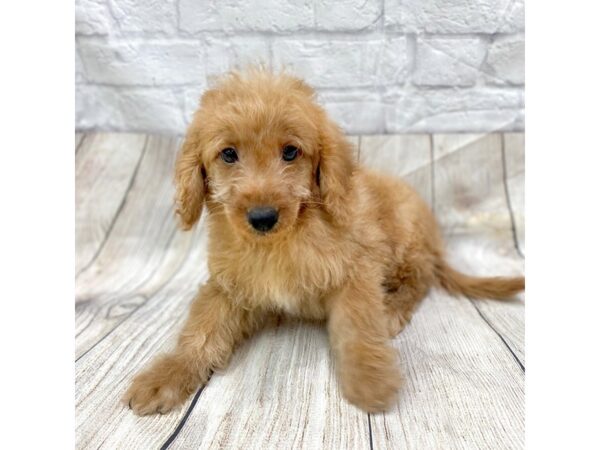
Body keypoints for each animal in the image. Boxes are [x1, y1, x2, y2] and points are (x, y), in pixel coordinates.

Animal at [123, 67, 524, 414]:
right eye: (228, 154)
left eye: (290, 152)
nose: (262, 217)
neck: (280, 241)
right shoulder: (226, 286)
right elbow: (202, 329)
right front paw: (167, 374)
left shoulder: (355, 271)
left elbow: (358, 326)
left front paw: (370, 378)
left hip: (405, 237)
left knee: (419, 278)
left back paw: (393, 308)